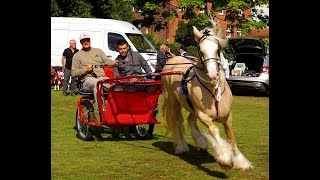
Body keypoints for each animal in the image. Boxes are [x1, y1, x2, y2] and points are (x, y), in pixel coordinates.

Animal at [161, 18, 254, 172]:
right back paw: (182, 146)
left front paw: (241, 162)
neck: (213, 89)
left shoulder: (227, 116)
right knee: (179, 122)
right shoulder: (203, 115)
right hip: (174, 102)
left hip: (191, 106)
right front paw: (225, 159)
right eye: (201, 51)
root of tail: (172, 61)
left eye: (217, 49)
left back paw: (201, 143)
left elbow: (231, 136)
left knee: (190, 120)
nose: (212, 74)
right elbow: (214, 130)